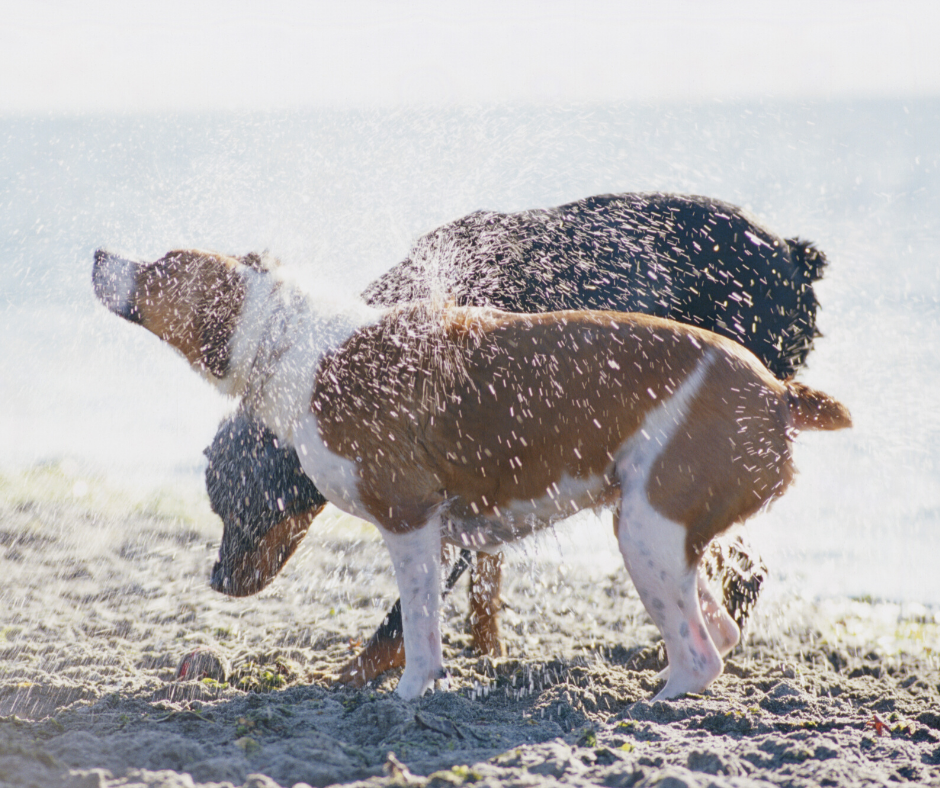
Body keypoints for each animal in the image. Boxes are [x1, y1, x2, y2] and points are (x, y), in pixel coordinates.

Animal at [95, 248, 852, 700]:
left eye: (160, 265)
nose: (101, 254)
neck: (293, 344)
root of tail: (777, 393)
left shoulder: (410, 521)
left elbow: (417, 627)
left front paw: (413, 691)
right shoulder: (445, 532)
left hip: (648, 533)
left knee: (702, 653)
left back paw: (660, 700)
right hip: (660, 530)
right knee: (718, 630)